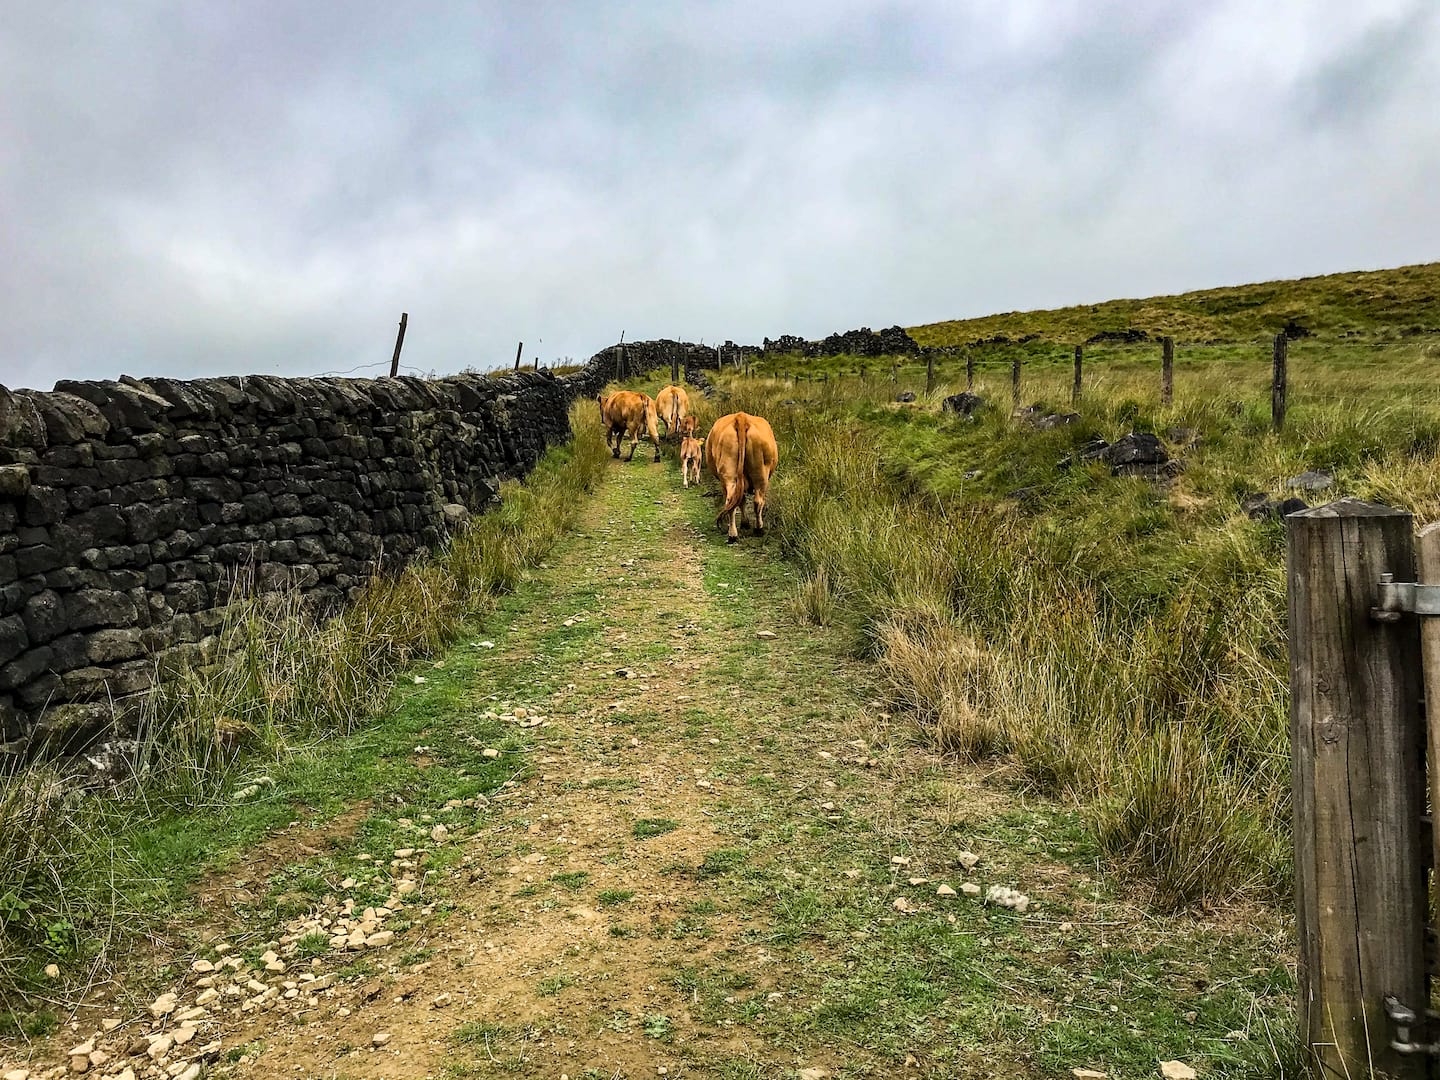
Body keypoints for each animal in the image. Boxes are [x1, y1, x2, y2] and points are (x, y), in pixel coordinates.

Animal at [705, 411, 777, 544]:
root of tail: (741, 417)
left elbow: (741, 500)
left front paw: (745, 523)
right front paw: (745, 523)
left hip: (731, 475)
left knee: (732, 500)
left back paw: (733, 534)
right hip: (761, 474)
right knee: (757, 501)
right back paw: (758, 529)